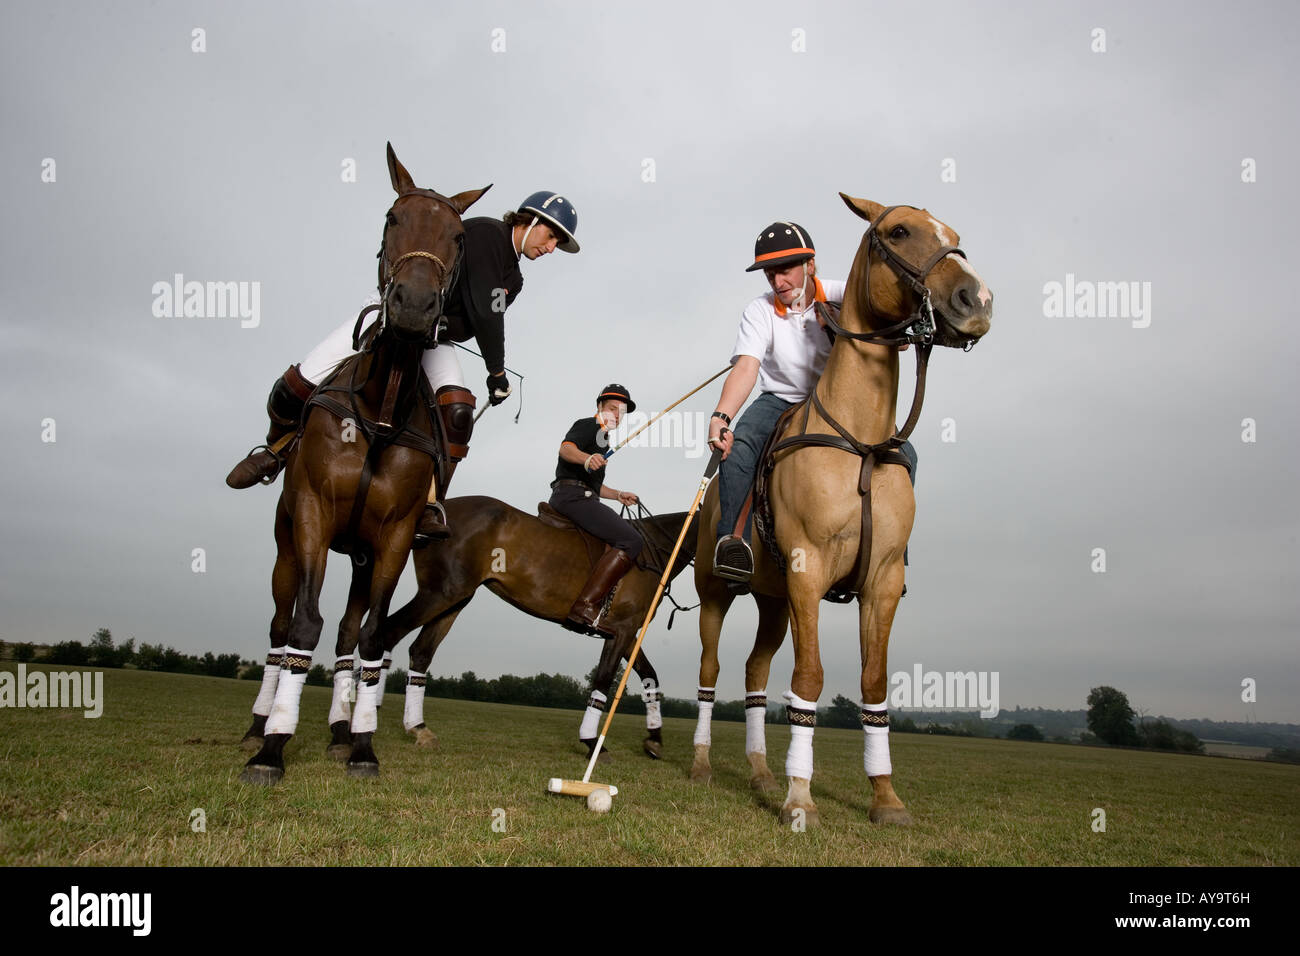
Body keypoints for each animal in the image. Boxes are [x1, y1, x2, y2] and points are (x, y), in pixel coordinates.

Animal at [240, 143, 491, 785]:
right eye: (391, 218)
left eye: (458, 236)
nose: (415, 307)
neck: (379, 412)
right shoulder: (313, 511)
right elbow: (303, 625)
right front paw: (271, 750)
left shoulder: (395, 535)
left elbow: (373, 637)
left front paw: (360, 745)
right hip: (286, 540)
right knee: (279, 627)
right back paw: (257, 723)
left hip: (359, 555)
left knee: (350, 634)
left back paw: (335, 729)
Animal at [361, 496, 696, 759]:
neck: (657, 551)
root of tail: (433, 515)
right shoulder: (622, 629)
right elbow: (603, 680)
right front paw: (591, 742)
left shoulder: (626, 634)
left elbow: (650, 676)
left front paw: (654, 740)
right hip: (440, 592)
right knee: (385, 633)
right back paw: (366, 721)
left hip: (455, 599)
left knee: (420, 651)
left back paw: (418, 728)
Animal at [691, 195, 993, 822]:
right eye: (898, 231)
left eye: (954, 234)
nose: (976, 300)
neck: (862, 440)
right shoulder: (809, 567)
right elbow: (809, 676)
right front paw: (800, 797)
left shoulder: (882, 579)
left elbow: (874, 683)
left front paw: (886, 798)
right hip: (716, 590)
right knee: (710, 670)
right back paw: (703, 765)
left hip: (773, 599)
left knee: (755, 672)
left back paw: (759, 773)